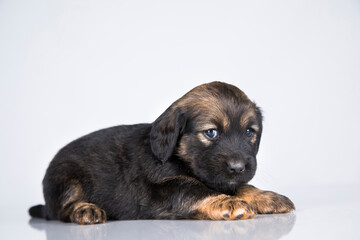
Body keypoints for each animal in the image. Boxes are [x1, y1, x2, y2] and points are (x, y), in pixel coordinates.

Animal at [29, 81, 296, 224]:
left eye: (250, 132)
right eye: (211, 133)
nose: (239, 167)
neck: (179, 157)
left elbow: (242, 186)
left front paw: (266, 197)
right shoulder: (161, 190)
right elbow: (195, 189)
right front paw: (227, 202)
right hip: (67, 177)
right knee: (62, 209)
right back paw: (84, 209)